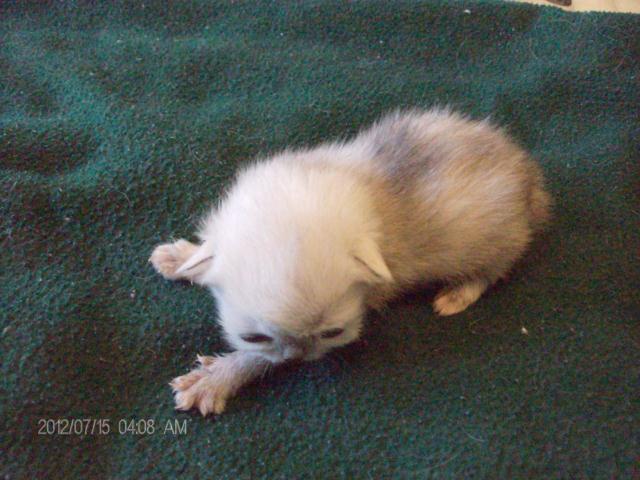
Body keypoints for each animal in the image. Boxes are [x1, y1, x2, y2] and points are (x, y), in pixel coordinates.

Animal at [150, 107, 551, 416]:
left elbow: (258, 360)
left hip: (498, 241)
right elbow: (206, 252)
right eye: (255, 335)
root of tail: (530, 178)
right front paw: (182, 257)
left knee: (492, 271)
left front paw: (216, 379)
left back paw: (457, 294)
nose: (300, 357)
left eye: (333, 334)